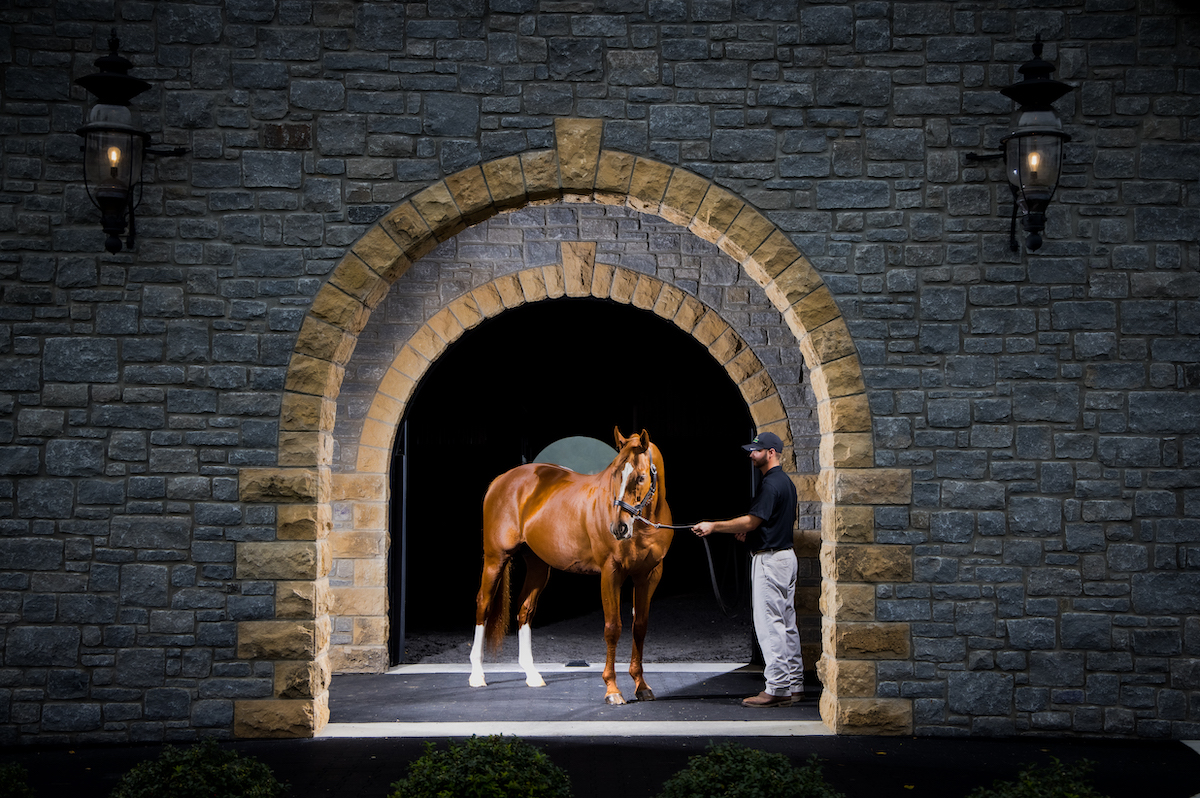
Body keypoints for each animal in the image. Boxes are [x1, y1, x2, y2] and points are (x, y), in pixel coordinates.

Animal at [468, 429, 676, 705]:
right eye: (614, 474)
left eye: (641, 477)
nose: (619, 528)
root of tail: (501, 479)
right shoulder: (611, 572)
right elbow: (613, 628)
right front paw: (612, 690)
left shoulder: (648, 576)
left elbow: (639, 627)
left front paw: (641, 686)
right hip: (495, 558)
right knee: (484, 604)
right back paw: (477, 675)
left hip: (538, 566)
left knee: (525, 609)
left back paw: (532, 675)